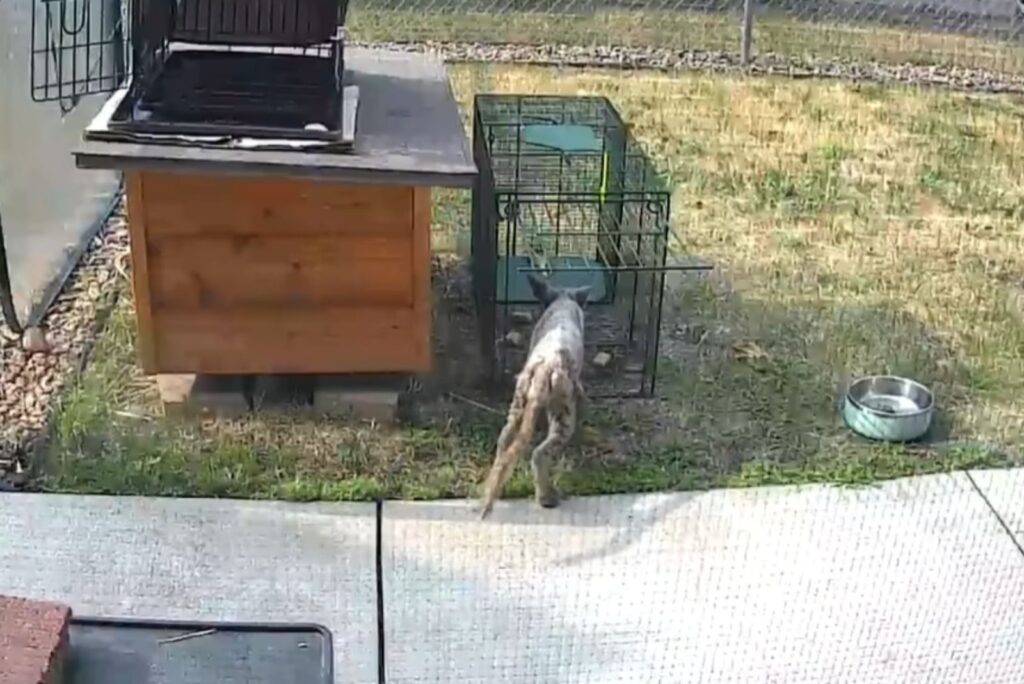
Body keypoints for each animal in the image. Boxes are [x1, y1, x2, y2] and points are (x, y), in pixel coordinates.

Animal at [479, 274, 589, 519]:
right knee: (539, 454)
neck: (562, 304)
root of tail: (544, 369)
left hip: (518, 401)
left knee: (504, 441)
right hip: (563, 412)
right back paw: (547, 498)